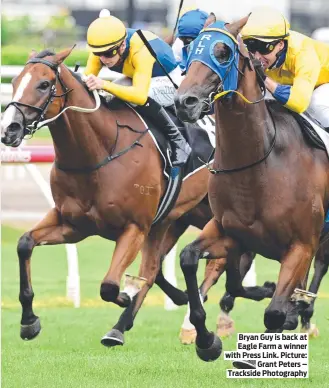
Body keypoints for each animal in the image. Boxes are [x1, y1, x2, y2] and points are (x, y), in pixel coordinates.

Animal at [174, 16, 328, 362]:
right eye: (192, 49)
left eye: (223, 51)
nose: (184, 102)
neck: (260, 165)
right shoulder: (230, 233)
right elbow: (191, 258)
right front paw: (207, 340)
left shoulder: (301, 245)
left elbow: (273, 314)